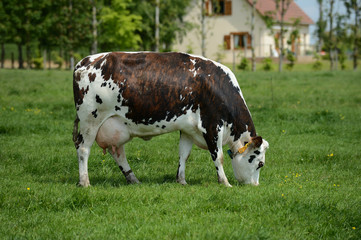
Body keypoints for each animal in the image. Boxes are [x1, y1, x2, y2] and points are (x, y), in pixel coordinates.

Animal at [72, 52, 268, 188]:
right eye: (260, 163)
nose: (255, 185)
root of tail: (85, 61)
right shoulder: (212, 125)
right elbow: (218, 156)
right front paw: (225, 182)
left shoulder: (189, 129)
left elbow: (184, 154)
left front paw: (181, 180)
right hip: (90, 120)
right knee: (83, 149)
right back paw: (84, 182)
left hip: (115, 125)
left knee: (118, 153)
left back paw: (133, 179)